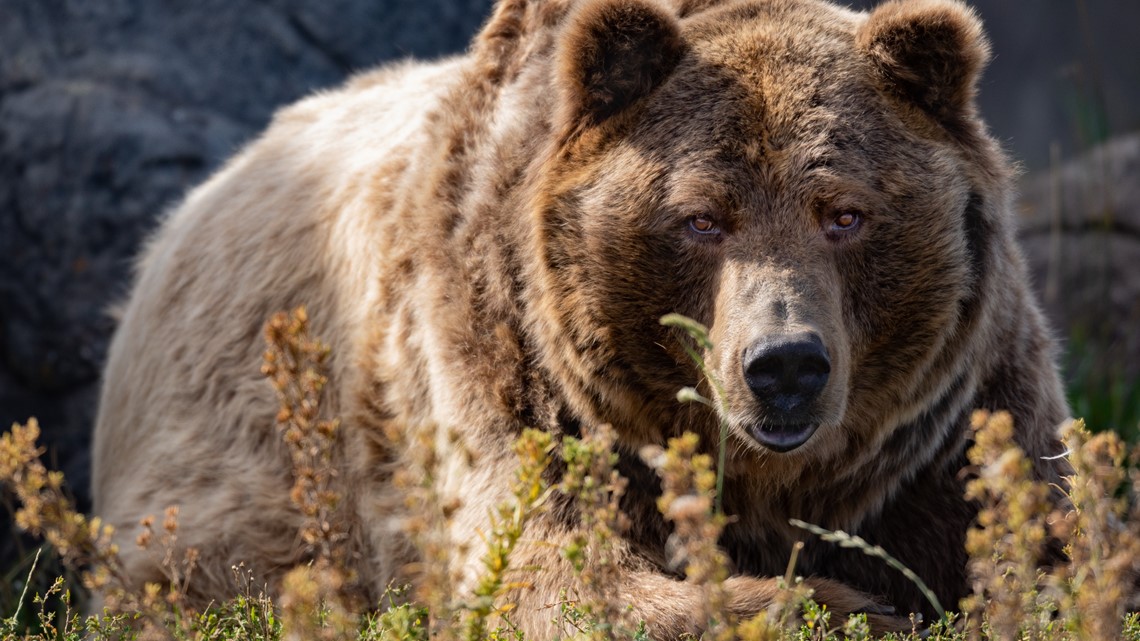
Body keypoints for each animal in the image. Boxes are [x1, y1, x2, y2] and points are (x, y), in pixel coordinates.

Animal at [93, 0, 1071, 629]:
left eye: (845, 212)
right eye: (701, 217)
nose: (785, 364)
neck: (779, 484)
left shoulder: (955, 414)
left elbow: (1040, 542)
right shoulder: (515, 369)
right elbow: (547, 573)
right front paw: (843, 605)